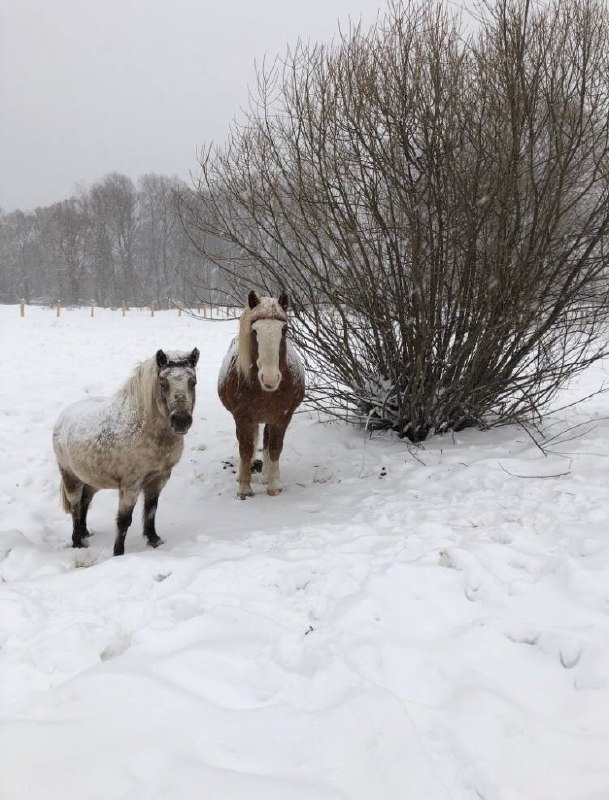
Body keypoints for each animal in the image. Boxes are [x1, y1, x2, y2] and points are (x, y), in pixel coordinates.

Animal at [217, 290, 304, 496]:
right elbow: (246, 449)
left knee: (266, 441)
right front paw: (244, 487)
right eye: (255, 331)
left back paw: (266, 476)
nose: (270, 379)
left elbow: (275, 448)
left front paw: (273, 485)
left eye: (285, 330)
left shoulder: (282, 418)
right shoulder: (242, 418)